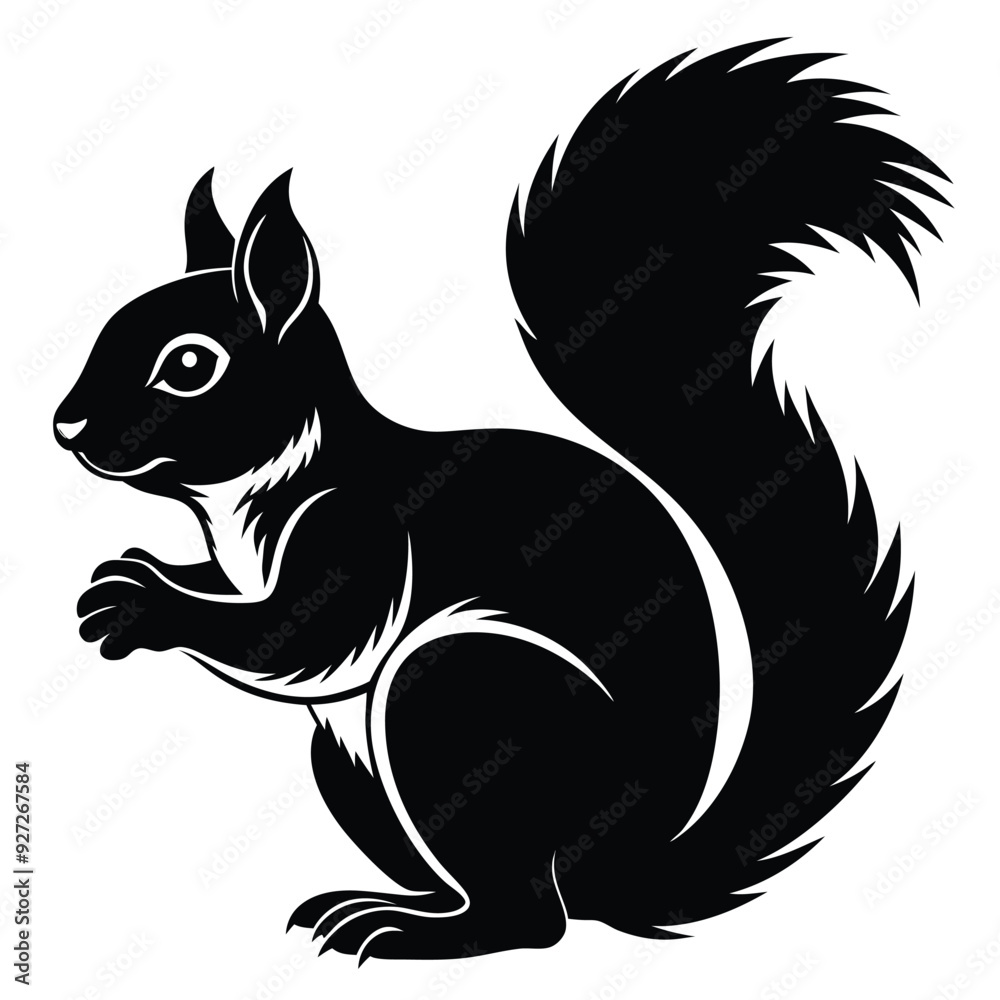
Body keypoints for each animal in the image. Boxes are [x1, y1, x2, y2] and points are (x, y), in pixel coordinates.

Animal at [54, 39, 949, 963]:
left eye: (191, 365)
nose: (66, 426)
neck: (246, 494)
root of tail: (623, 868)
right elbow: (235, 596)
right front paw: (136, 573)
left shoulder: (360, 532)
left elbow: (298, 635)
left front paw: (142, 605)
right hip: (350, 764)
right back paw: (390, 903)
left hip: (465, 696)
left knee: (530, 919)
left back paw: (407, 932)